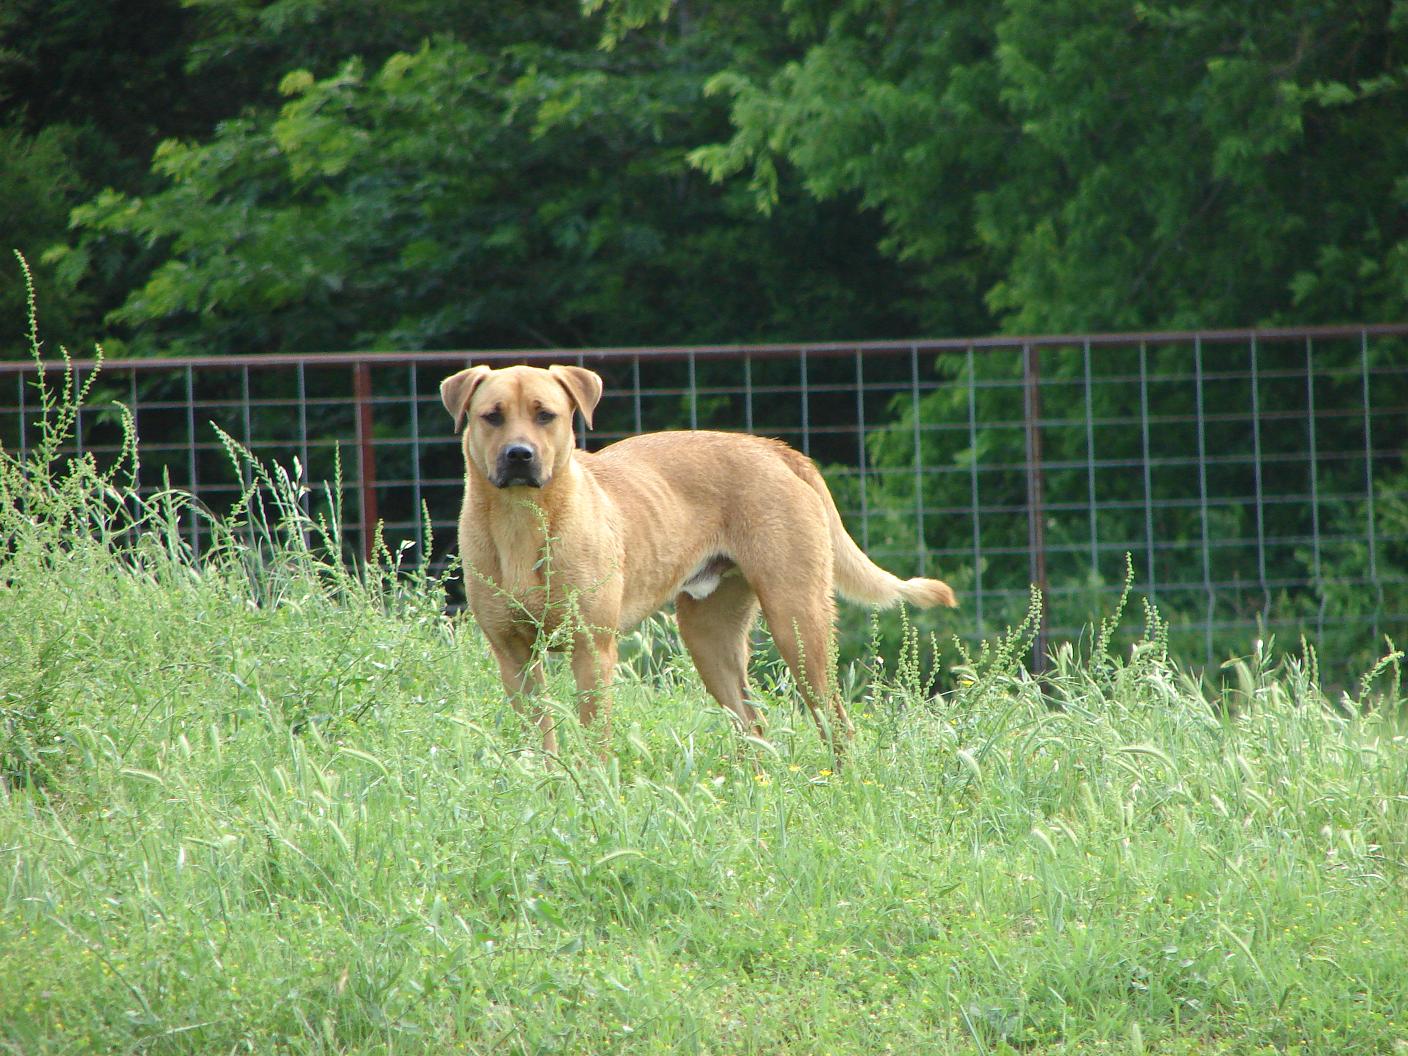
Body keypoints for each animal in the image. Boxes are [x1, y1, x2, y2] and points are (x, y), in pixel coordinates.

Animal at [442, 366, 957, 760]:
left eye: (545, 415)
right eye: (492, 417)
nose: (519, 455)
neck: (523, 521)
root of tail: (772, 447)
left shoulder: (592, 649)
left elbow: (594, 740)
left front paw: (592, 789)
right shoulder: (514, 657)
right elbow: (540, 740)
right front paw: (551, 787)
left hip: (797, 623)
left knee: (834, 722)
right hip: (710, 637)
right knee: (752, 725)